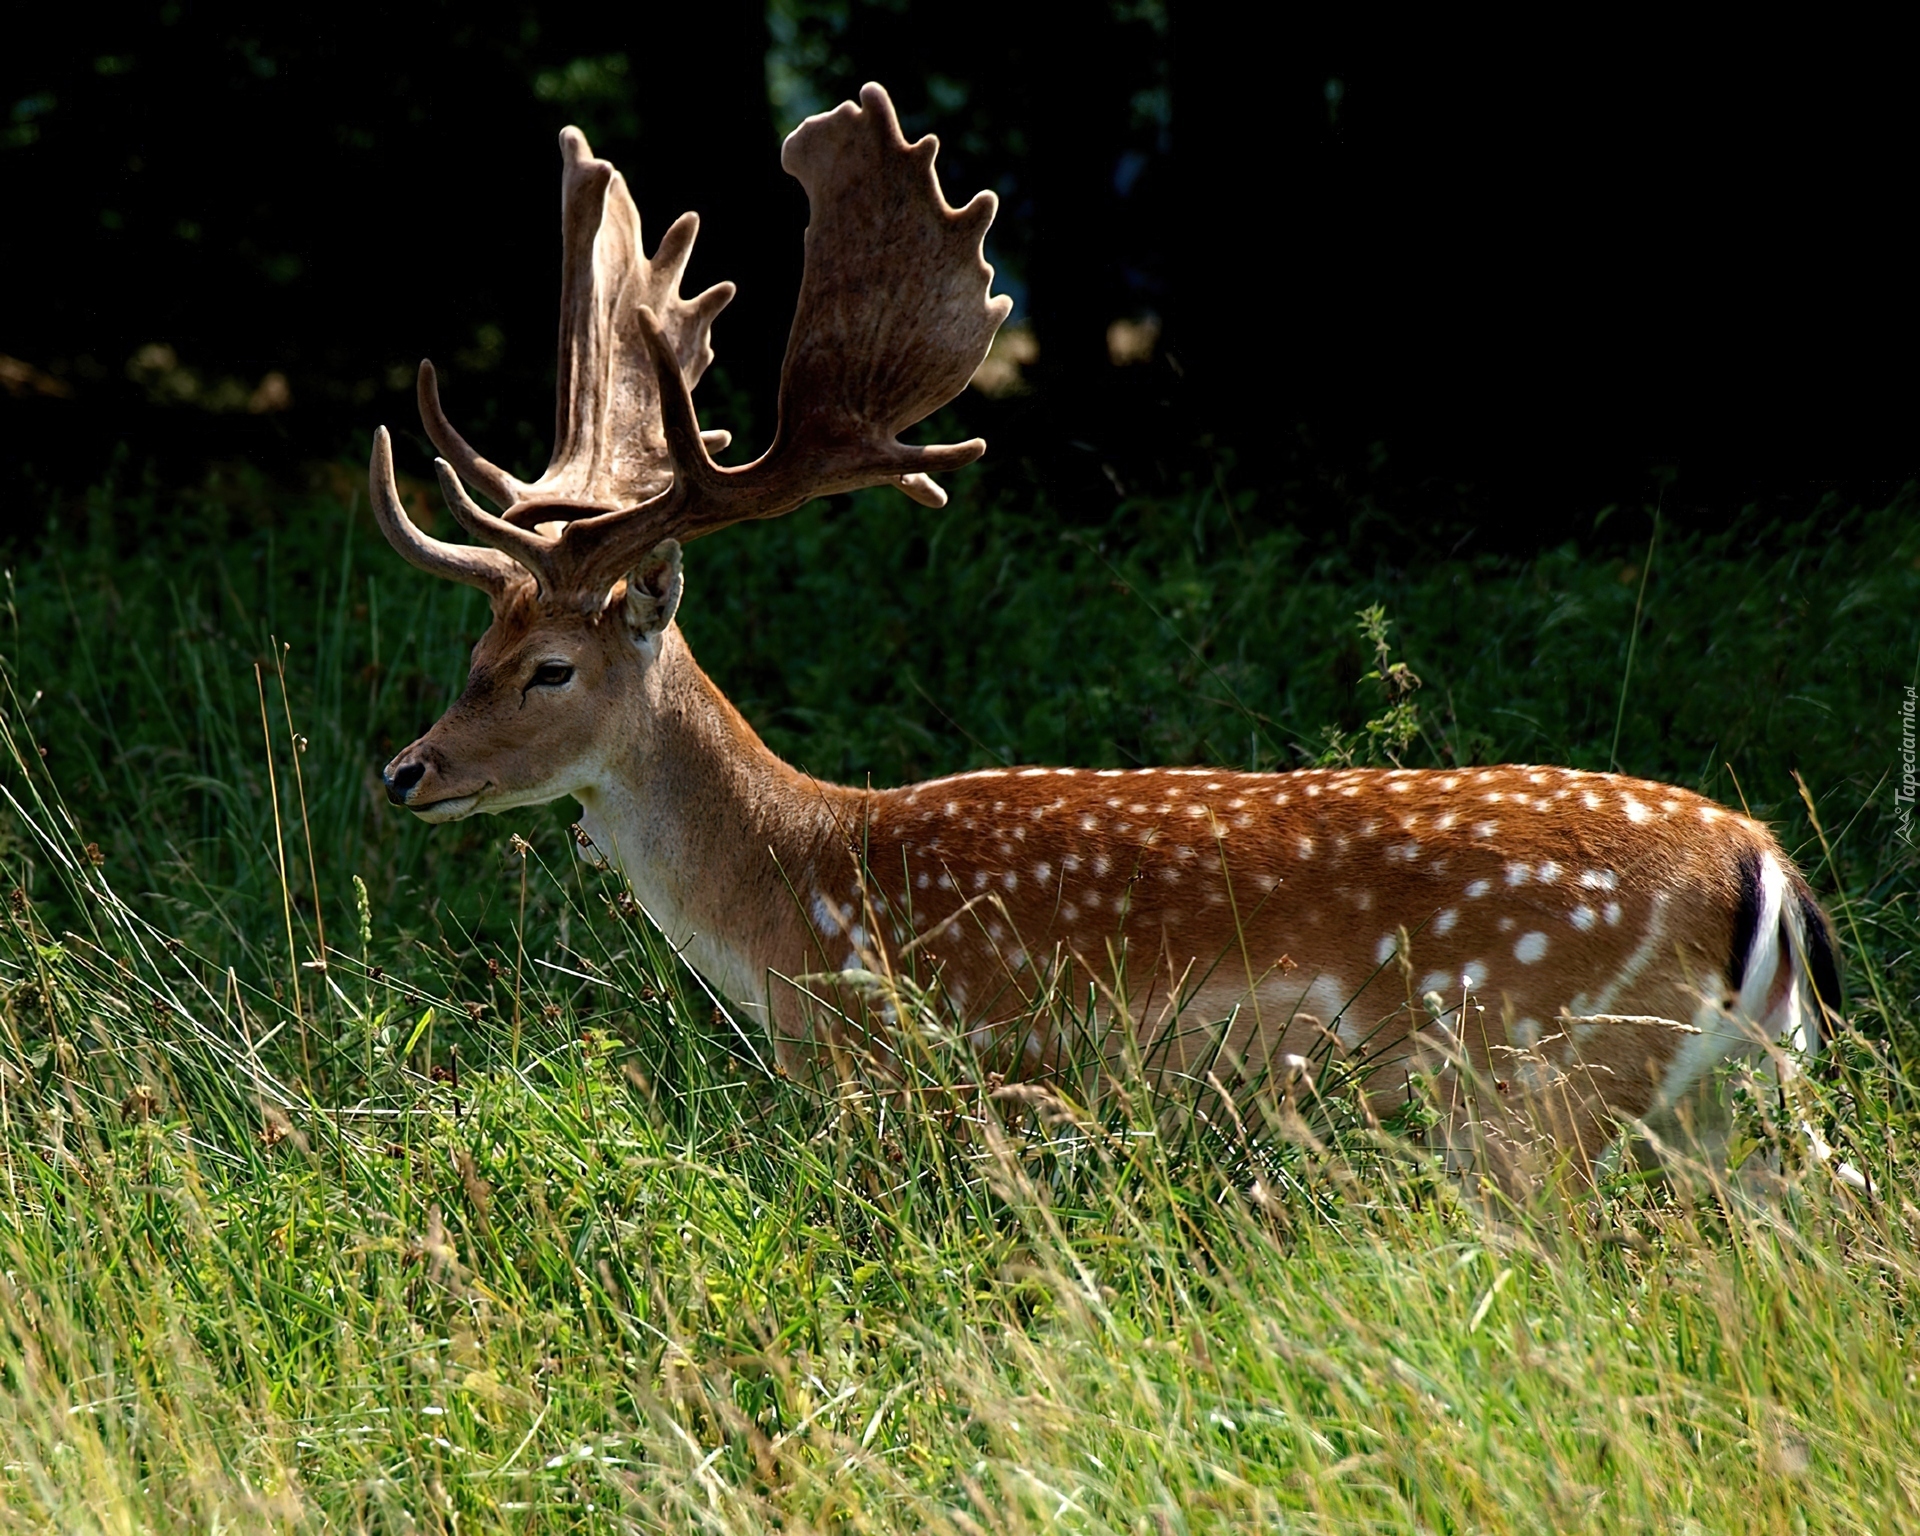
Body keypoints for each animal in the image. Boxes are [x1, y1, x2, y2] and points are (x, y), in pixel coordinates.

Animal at [366, 84, 1850, 1190]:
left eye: (549, 668)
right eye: (473, 648)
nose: (406, 772)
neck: (799, 901)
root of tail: (1762, 866)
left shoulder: (929, 1077)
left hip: (1537, 1076)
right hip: (1740, 1093)